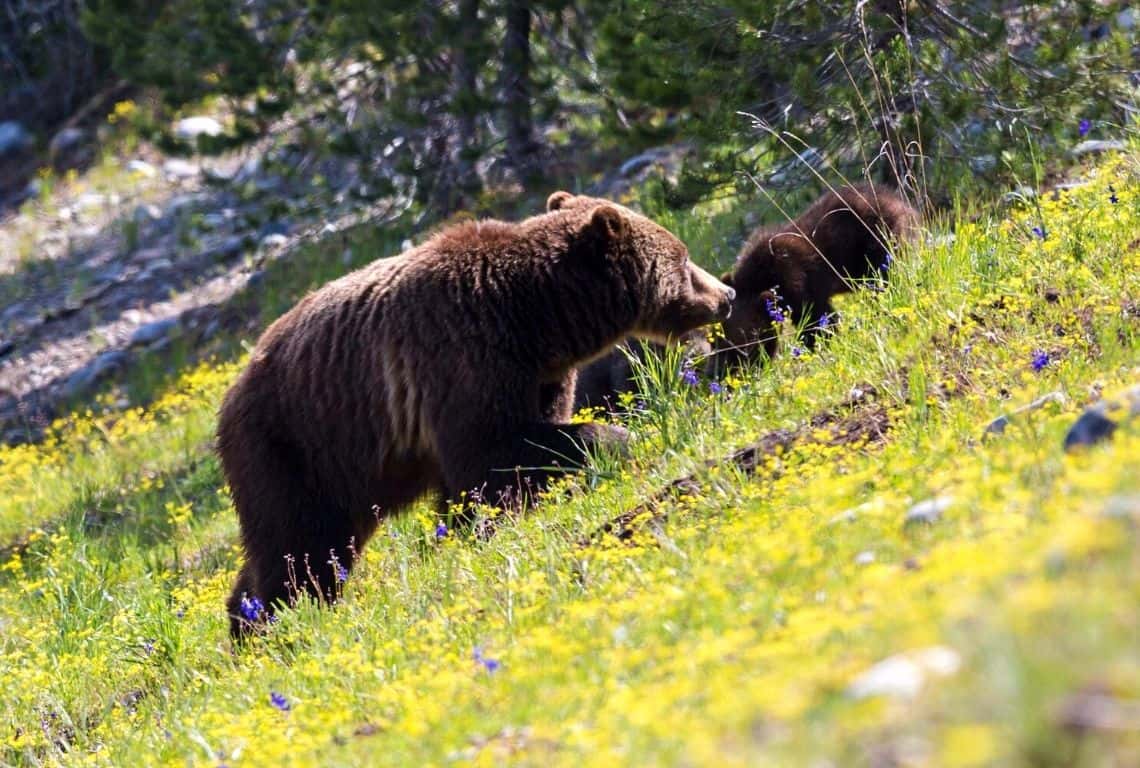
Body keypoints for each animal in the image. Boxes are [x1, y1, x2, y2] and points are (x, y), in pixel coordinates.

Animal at [217, 191, 734, 633]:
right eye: (682, 257)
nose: (725, 295)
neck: (539, 315)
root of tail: (228, 400)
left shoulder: (538, 376)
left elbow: (504, 457)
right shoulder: (462, 354)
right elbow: (491, 454)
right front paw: (614, 443)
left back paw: (248, 624)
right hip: (291, 447)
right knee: (299, 546)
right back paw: (285, 619)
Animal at [579, 183, 916, 405]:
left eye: (740, 342)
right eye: (718, 340)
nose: (721, 374)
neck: (761, 278)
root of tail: (897, 198)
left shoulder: (800, 280)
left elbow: (818, 318)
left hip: (878, 242)